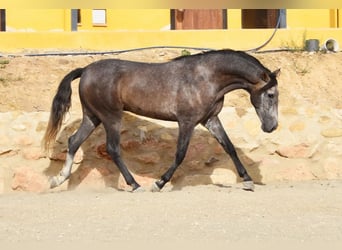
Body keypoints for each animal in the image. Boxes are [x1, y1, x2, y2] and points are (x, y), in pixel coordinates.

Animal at [42, 49, 280, 192]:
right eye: (271, 95)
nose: (271, 126)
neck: (205, 77)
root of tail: (85, 70)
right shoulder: (187, 121)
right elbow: (180, 154)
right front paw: (159, 183)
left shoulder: (210, 119)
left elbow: (229, 147)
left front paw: (247, 180)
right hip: (111, 117)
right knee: (113, 148)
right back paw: (135, 184)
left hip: (93, 117)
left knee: (74, 141)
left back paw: (59, 179)